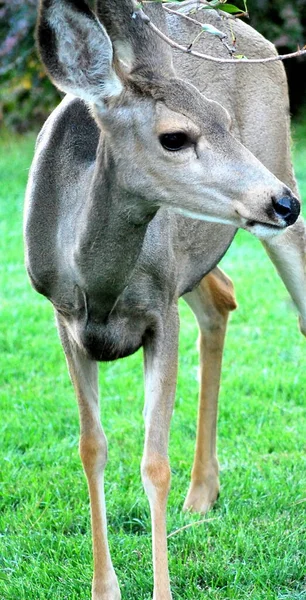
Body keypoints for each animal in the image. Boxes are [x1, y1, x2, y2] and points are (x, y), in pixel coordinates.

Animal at [23, 0, 306, 596]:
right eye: (174, 137)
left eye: (223, 118)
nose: (282, 202)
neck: (98, 284)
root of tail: (256, 39)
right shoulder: (64, 317)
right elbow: (91, 447)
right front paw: (103, 587)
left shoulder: (159, 311)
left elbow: (154, 463)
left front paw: (160, 589)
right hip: (194, 257)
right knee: (222, 299)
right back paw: (203, 493)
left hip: (278, 167)